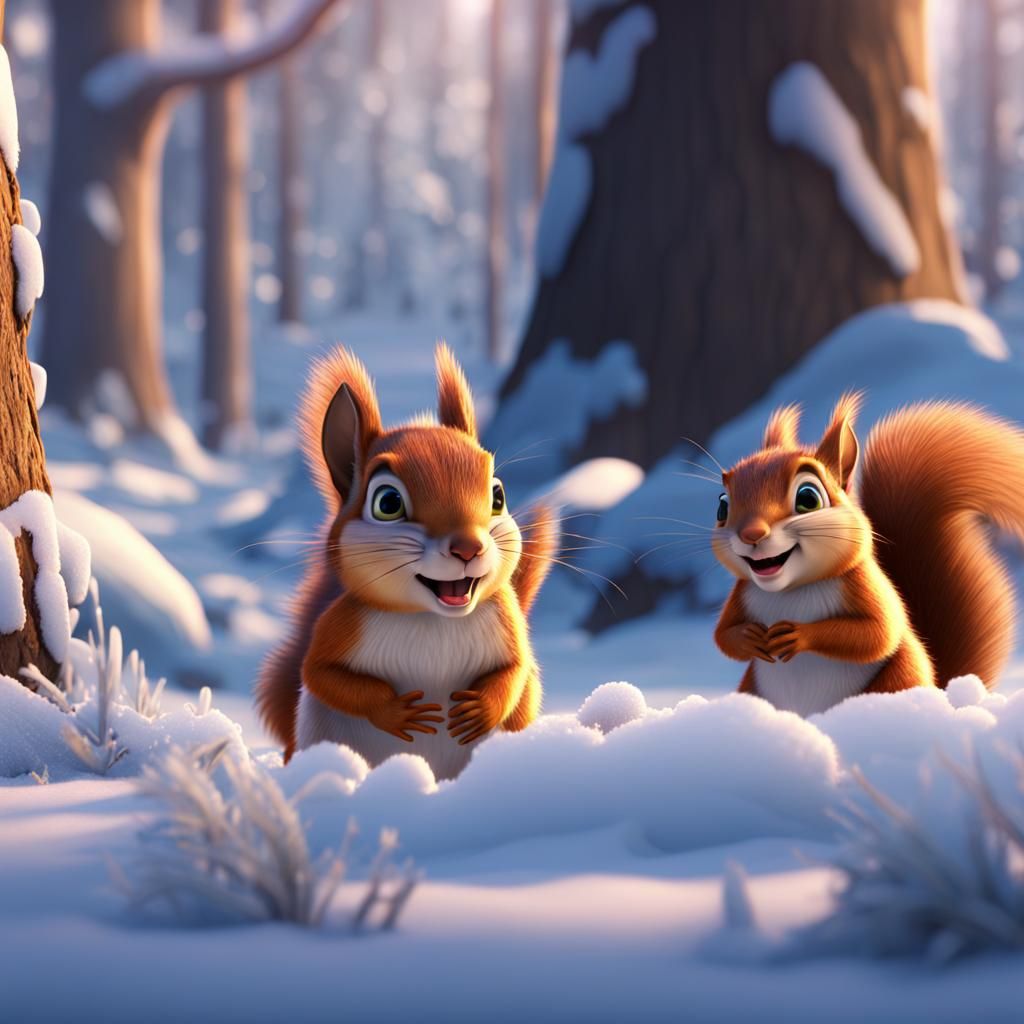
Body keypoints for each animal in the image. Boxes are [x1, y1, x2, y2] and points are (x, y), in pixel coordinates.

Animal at [255, 343, 557, 780]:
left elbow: (515, 670)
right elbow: (321, 674)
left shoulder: (507, 621)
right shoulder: (341, 626)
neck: (432, 618)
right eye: (388, 503)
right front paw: (396, 712)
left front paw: (481, 709)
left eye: (498, 496)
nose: (468, 547)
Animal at [712, 393, 1024, 717]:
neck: (791, 589)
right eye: (722, 506)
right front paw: (749, 637)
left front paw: (799, 635)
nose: (751, 534)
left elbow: (877, 633)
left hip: (898, 676)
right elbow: (723, 635)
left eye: (808, 498)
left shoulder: (866, 586)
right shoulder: (741, 594)